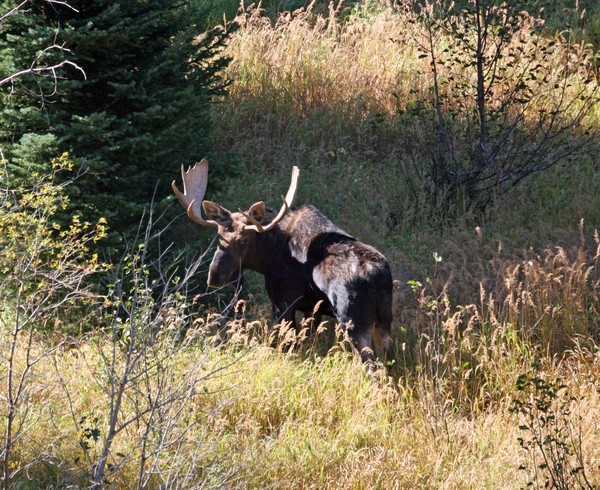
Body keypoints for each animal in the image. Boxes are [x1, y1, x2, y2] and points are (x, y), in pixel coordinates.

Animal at [172, 159, 394, 366]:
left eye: (244, 240)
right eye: (218, 236)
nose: (215, 276)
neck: (266, 257)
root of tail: (378, 278)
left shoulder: (283, 302)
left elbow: (283, 344)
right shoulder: (310, 309)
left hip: (353, 321)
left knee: (372, 366)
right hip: (384, 321)